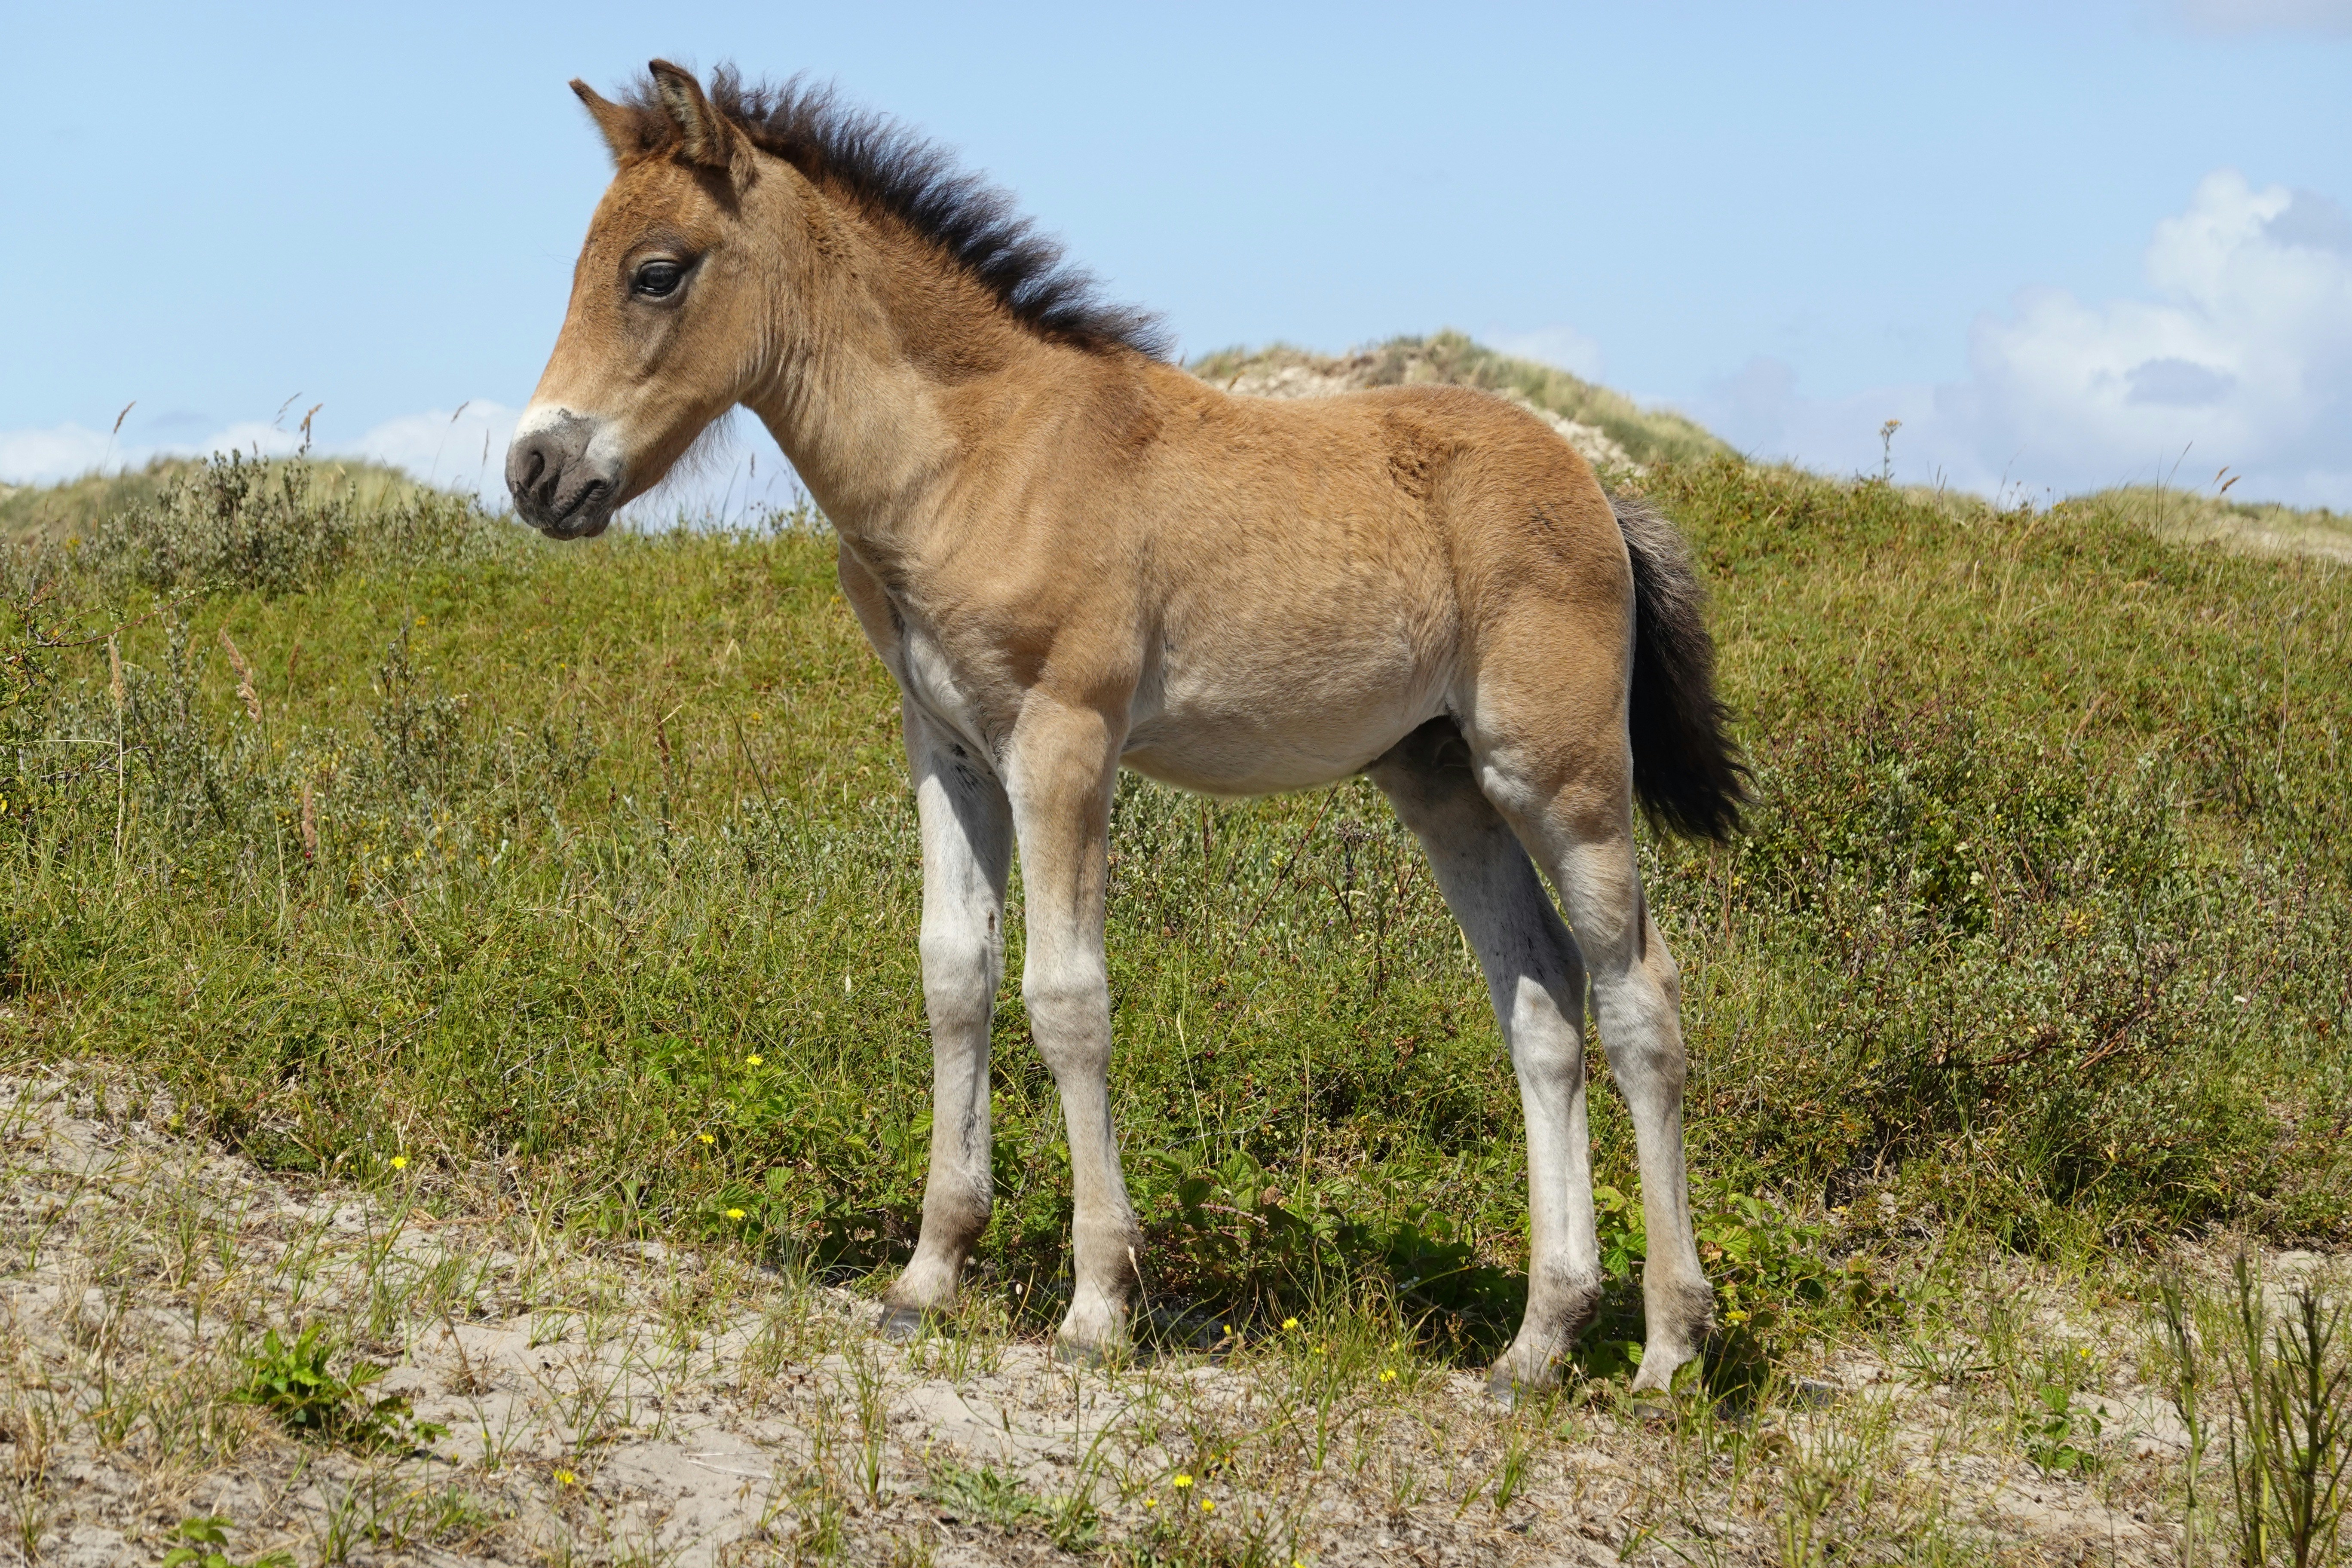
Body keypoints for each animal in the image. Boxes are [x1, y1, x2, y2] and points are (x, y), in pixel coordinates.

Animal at [505, 61, 1747, 1396]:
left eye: (657, 272)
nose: (534, 472)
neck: (976, 458)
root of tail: (1599, 489)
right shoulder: (946, 745)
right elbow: (955, 977)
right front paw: (927, 1275)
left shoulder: (1066, 739)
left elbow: (1066, 997)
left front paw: (1099, 1298)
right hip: (1441, 782)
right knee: (1541, 1004)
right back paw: (1538, 1339)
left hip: (1560, 774)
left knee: (1639, 1001)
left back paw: (1668, 1349)